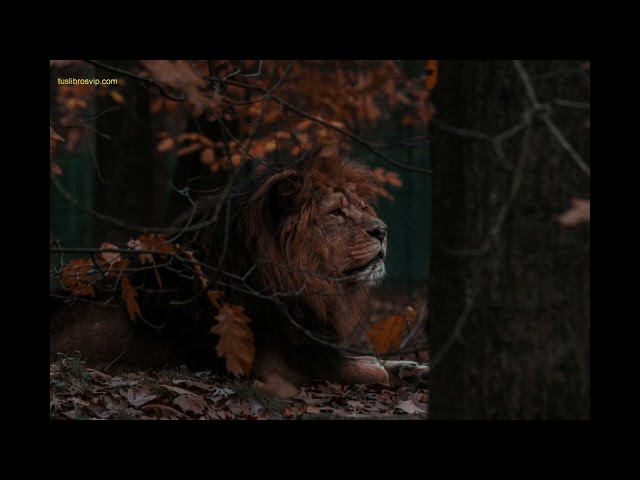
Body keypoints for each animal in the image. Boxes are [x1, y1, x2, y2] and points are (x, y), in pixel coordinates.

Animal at [50, 143, 429, 386]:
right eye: (336, 212)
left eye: (362, 207)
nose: (382, 230)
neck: (305, 286)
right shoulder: (279, 365)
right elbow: (369, 370)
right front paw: (394, 373)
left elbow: (370, 359)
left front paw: (412, 367)